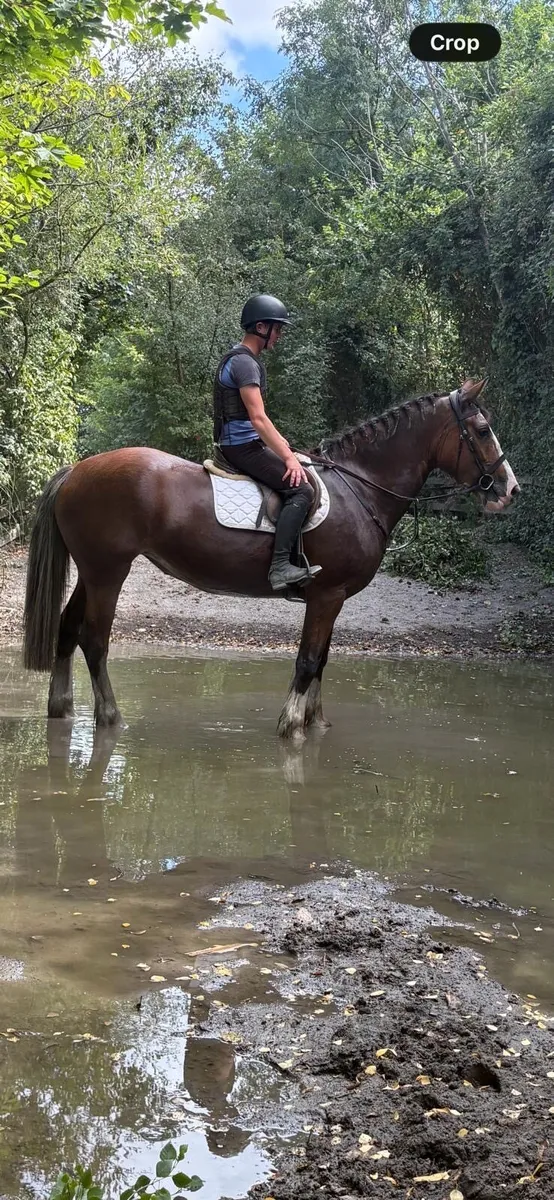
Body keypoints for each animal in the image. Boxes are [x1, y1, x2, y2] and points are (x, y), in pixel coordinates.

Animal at [22, 379, 519, 740]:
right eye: (482, 430)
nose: (509, 490)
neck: (359, 487)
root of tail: (77, 470)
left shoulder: (332, 598)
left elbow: (322, 659)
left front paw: (316, 722)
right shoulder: (327, 595)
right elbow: (308, 660)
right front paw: (292, 727)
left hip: (92, 572)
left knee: (67, 629)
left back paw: (62, 709)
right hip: (109, 572)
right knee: (94, 641)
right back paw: (110, 717)